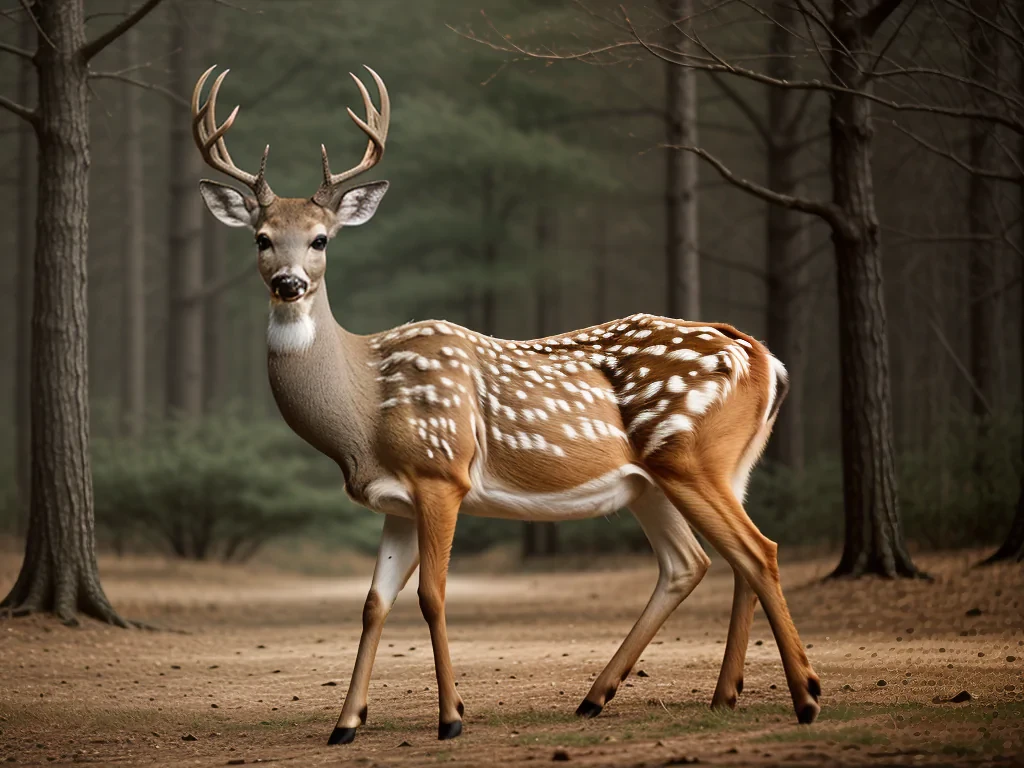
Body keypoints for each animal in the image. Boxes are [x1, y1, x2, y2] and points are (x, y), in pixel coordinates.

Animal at [191, 64, 821, 745]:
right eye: (260, 239)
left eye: (321, 239)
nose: (289, 283)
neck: (364, 409)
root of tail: (763, 355)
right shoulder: (397, 501)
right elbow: (373, 602)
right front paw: (346, 724)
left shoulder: (442, 472)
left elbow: (432, 596)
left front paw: (450, 719)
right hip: (673, 478)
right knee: (698, 562)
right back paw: (651, 697)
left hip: (691, 455)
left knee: (758, 551)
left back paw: (806, 697)